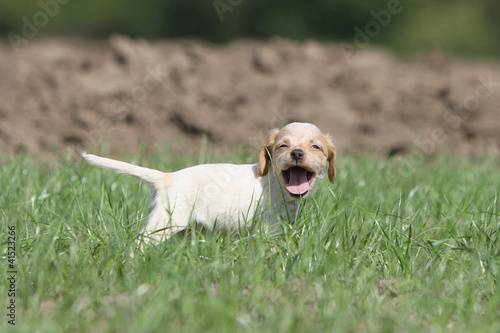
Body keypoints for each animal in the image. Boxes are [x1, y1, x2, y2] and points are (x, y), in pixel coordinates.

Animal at [82, 121, 336, 244]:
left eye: (315, 147)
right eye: (283, 145)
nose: (296, 153)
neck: (278, 185)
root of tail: (167, 176)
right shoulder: (268, 227)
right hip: (165, 222)